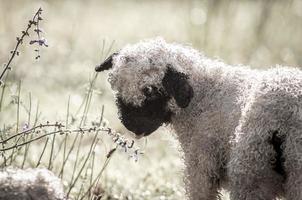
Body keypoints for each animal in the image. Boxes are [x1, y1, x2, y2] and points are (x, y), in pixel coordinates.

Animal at [95, 38, 300, 200]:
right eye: (117, 90)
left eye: (152, 91)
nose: (131, 125)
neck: (204, 96)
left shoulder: (201, 166)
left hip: (251, 171)